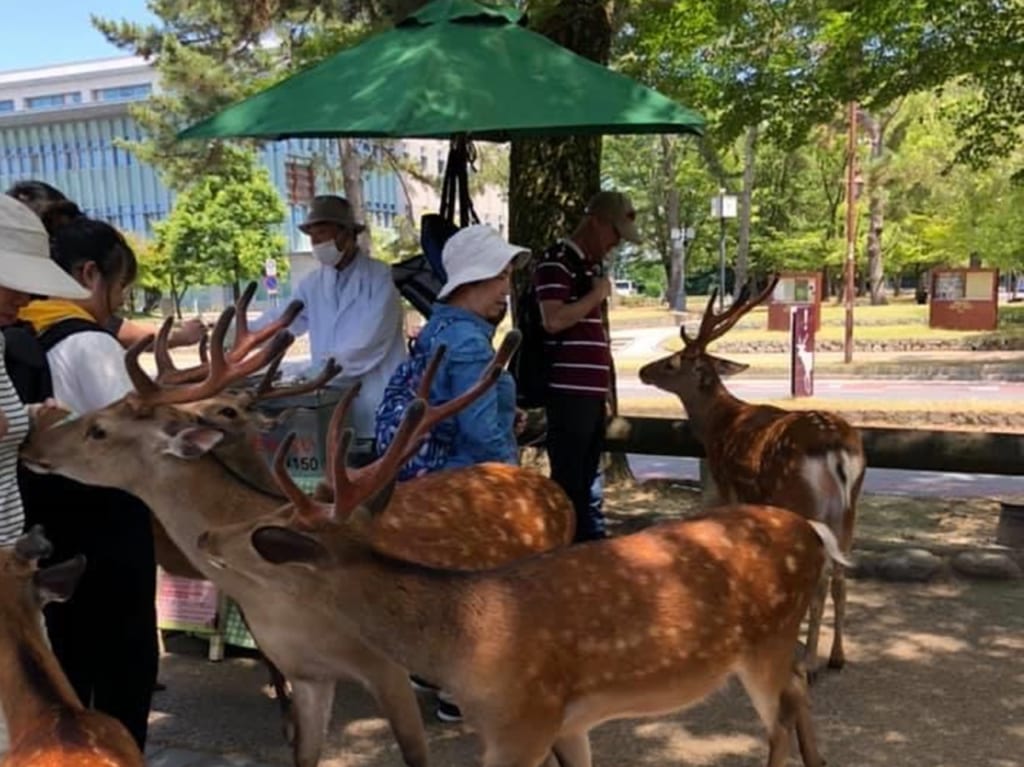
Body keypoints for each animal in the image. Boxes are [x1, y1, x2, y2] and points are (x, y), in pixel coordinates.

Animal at [22, 294, 577, 765]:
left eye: (98, 429)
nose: (30, 444)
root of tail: (560, 495)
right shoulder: (304, 670)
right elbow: (302, 752)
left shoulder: (386, 666)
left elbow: (416, 755)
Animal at [193, 391, 847, 765]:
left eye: (265, 530)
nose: (204, 537)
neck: (466, 648)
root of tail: (815, 531)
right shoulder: (563, 723)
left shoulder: (523, 721)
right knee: (798, 687)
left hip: (765, 639)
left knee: (780, 714)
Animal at [638, 274, 864, 675]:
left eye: (673, 362)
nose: (642, 371)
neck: (718, 424)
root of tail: (838, 448)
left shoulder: (726, 484)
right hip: (849, 507)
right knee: (841, 575)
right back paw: (836, 657)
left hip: (804, 498)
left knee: (823, 576)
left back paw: (808, 660)